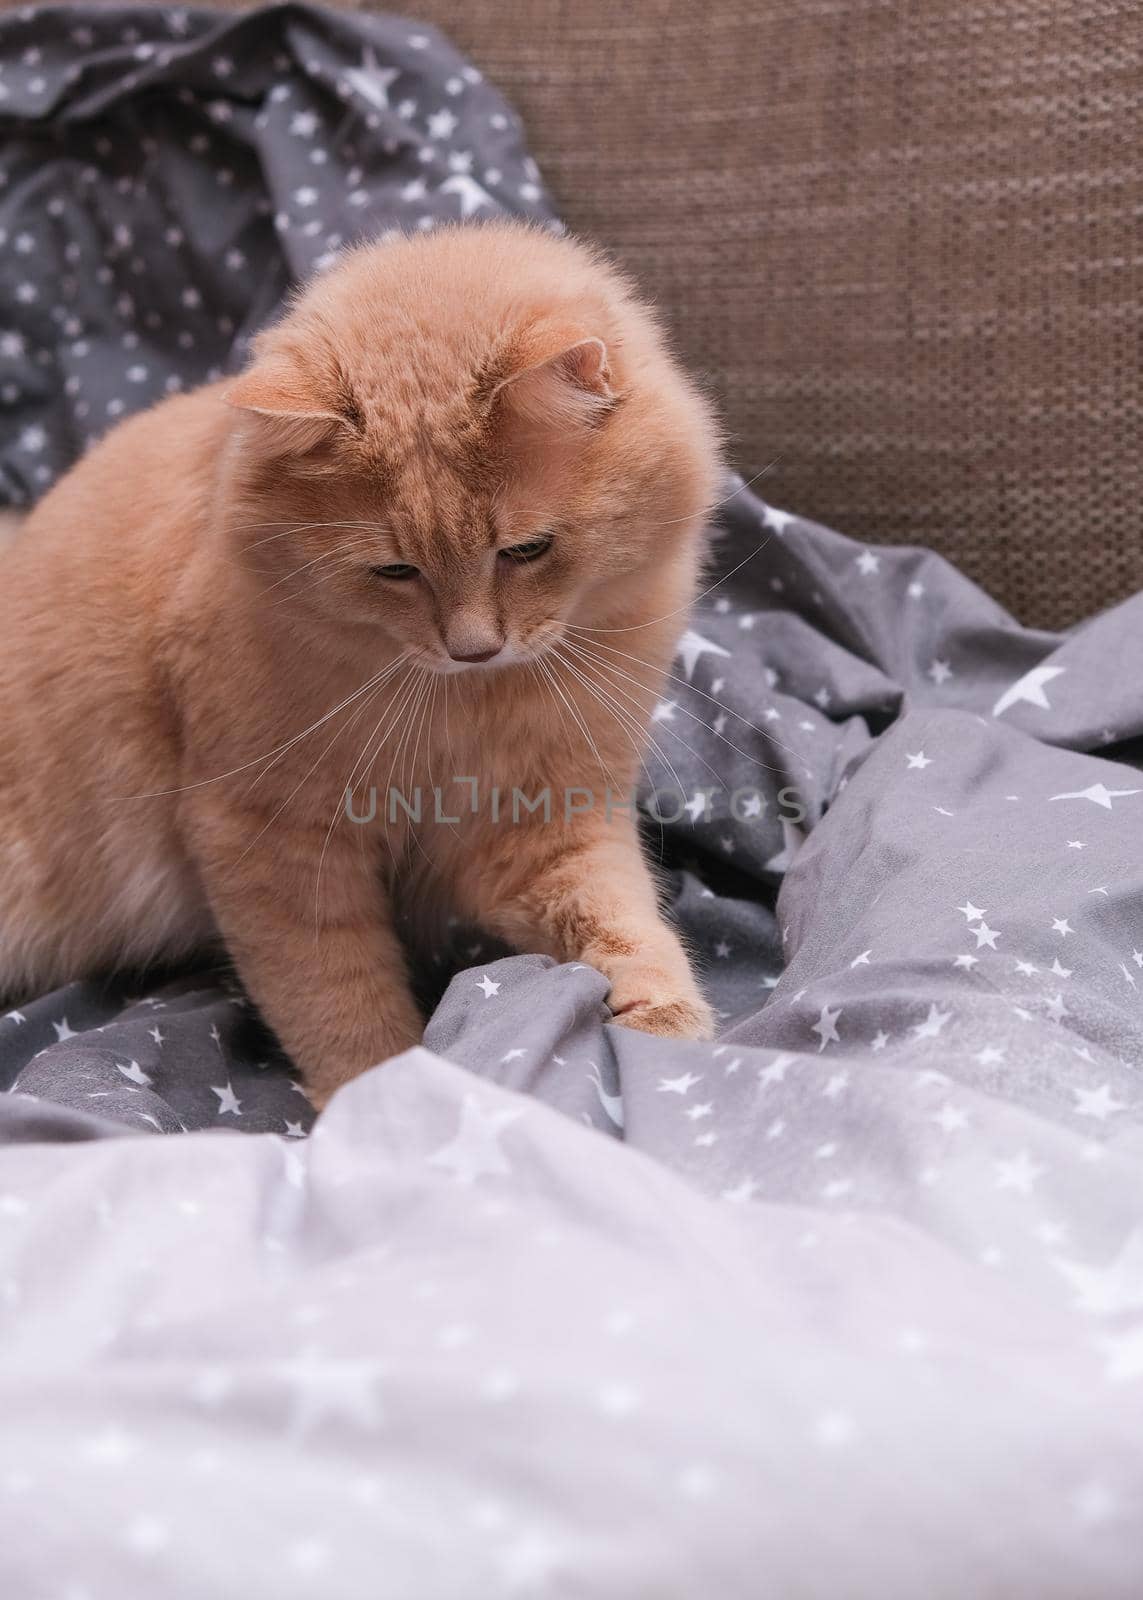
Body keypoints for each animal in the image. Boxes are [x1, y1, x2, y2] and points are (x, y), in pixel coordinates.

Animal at [0, 219, 710, 1107]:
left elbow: (618, 911)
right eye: (395, 571)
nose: (473, 648)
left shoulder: (545, 823)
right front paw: (383, 1093)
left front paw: (661, 1011)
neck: (468, 709)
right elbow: (339, 1001)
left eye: (526, 550)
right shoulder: (272, 840)